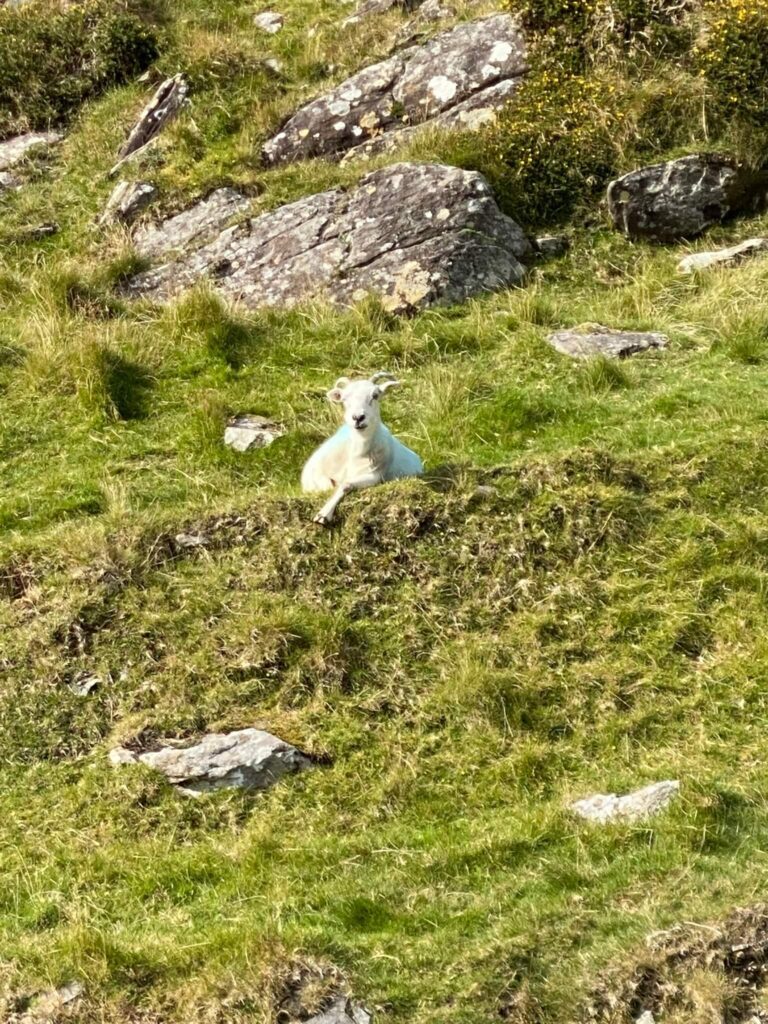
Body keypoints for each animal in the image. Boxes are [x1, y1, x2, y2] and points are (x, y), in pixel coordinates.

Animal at [301, 370, 423, 528]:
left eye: (375, 395)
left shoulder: (375, 475)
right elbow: (326, 485)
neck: (356, 453)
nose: (358, 417)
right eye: (344, 399)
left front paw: (324, 514)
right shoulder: (315, 475)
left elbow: (346, 484)